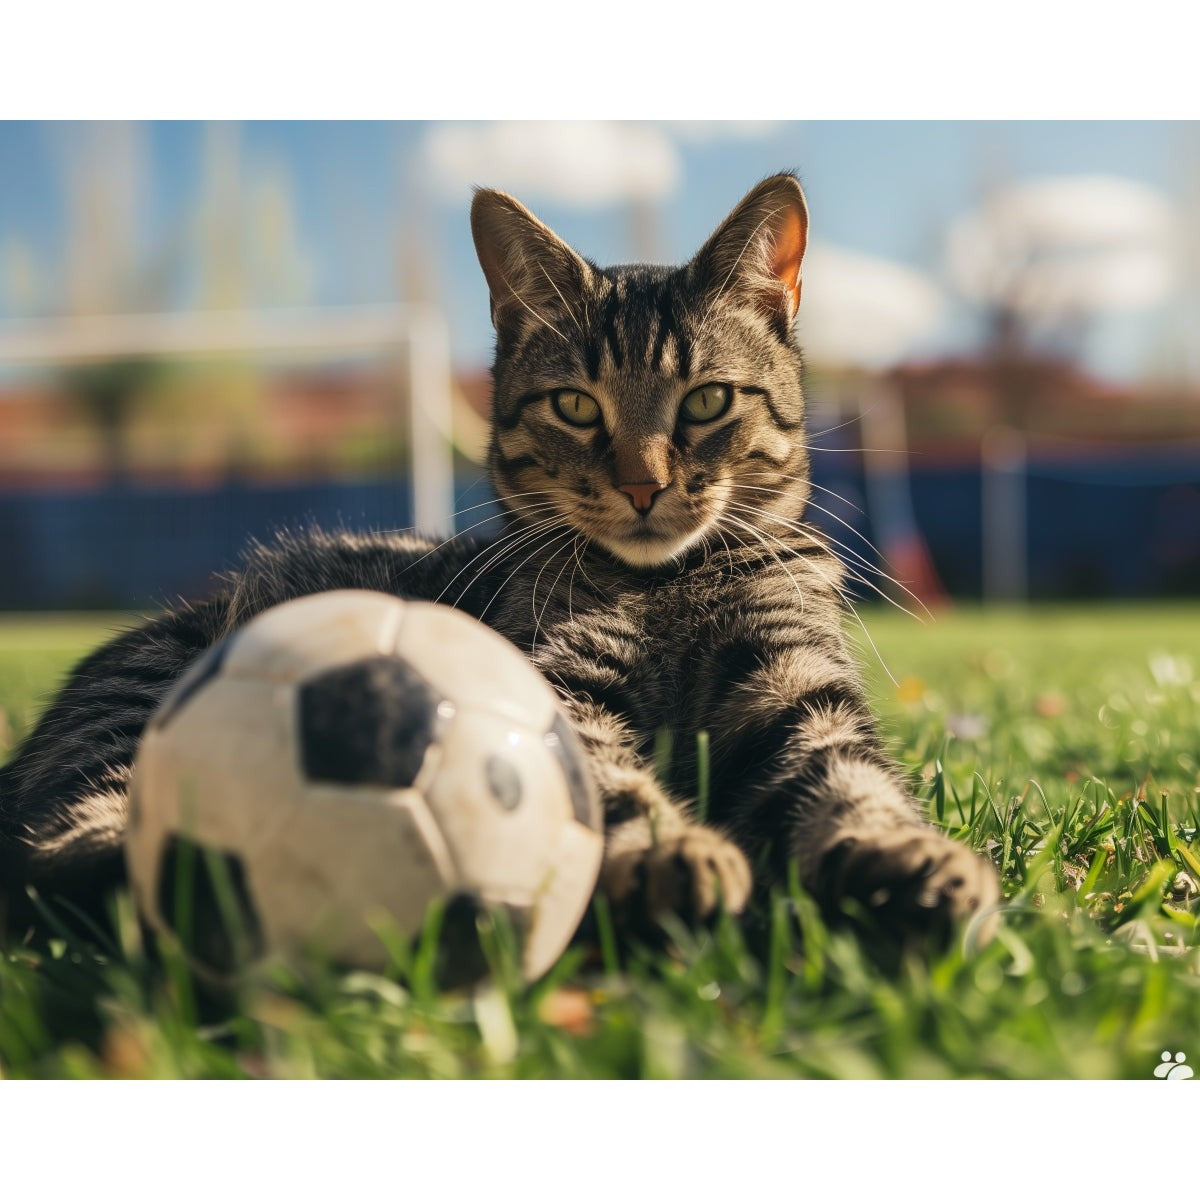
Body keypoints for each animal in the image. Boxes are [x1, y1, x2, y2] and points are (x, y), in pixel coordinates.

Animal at [0, 175, 993, 945]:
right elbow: (604, 782)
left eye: (707, 401)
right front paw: (667, 851)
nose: (643, 484)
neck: (663, 586)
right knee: (67, 849)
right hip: (141, 708)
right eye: (577, 407)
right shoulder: (553, 686)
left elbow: (849, 780)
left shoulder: (796, 683)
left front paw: (908, 858)